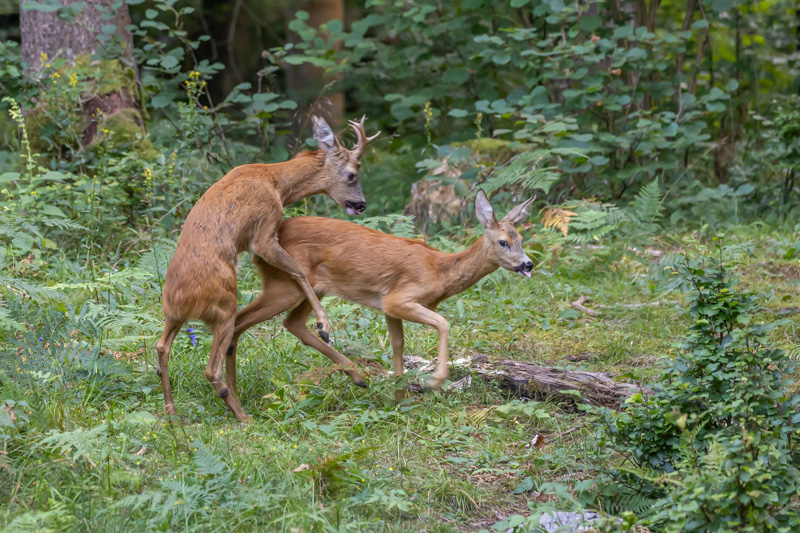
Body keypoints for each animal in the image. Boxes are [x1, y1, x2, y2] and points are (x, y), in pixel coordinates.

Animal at [159, 115, 382, 420]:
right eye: (351, 174)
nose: (361, 205)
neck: (277, 182)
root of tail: (183, 302)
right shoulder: (263, 232)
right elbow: (299, 270)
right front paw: (324, 325)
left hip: (173, 316)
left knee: (162, 349)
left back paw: (173, 414)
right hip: (225, 306)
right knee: (211, 367)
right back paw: (243, 417)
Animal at [225, 189, 536, 402]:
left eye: (522, 239)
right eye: (503, 242)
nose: (528, 264)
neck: (441, 271)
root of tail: (257, 247)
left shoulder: (388, 307)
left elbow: (398, 345)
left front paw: (400, 398)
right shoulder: (398, 299)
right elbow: (443, 323)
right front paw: (435, 381)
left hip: (311, 290)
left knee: (291, 324)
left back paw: (356, 376)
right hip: (286, 286)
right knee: (239, 320)